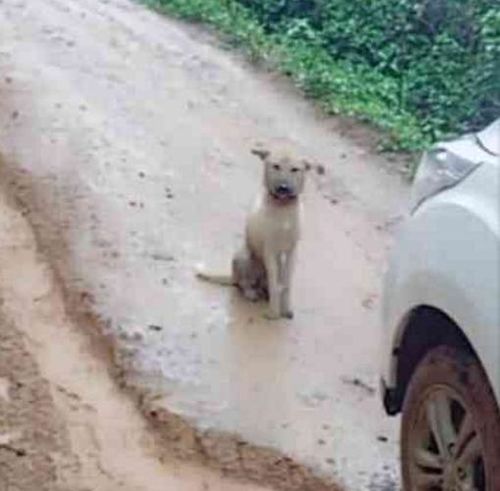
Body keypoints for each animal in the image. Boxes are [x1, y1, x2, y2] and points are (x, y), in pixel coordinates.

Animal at [196, 144, 308, 320]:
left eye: (295, 169)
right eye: (275, 166)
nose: (283, 188)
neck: (283, 209)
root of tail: (232, 275)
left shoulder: (292, 251)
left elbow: (287, 282)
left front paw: (286, 308)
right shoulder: (270, 250)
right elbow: (274, 281)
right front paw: (274, 312)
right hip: (243, 256)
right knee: (243, 283)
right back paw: (251, 293)